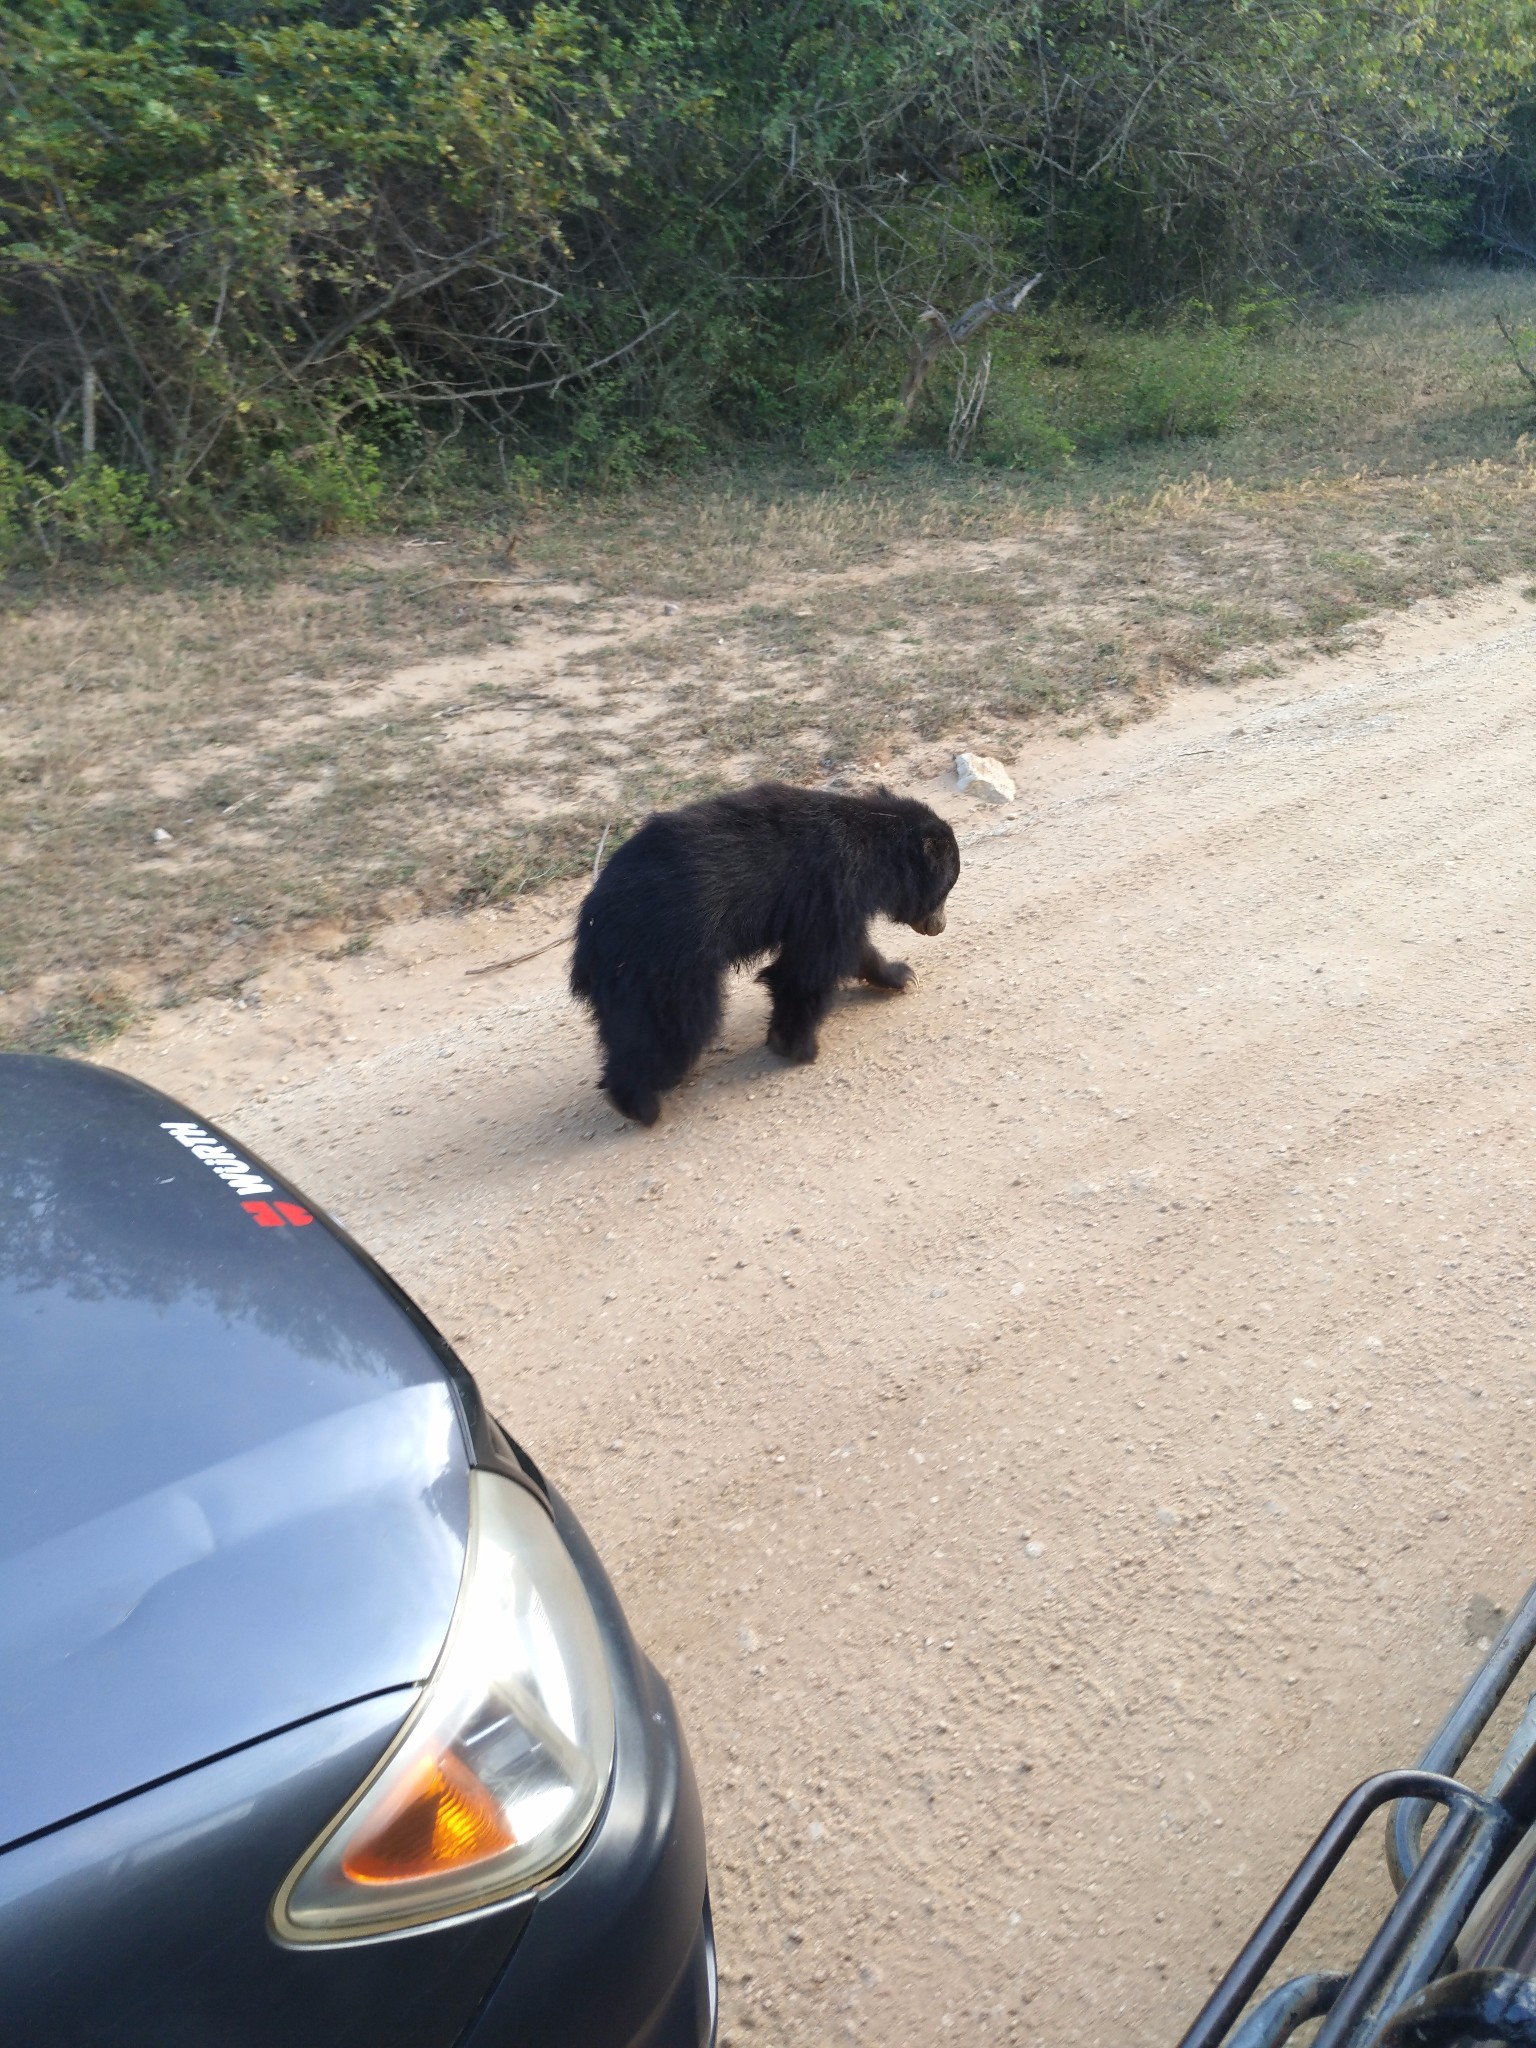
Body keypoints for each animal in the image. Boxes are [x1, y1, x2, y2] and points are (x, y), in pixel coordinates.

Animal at [573, 782, 962, 1130]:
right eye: (946, 889)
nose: (939, 926)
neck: (874, 838)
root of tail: (591, 921)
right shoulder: (831, 890)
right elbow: (808, 969)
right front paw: (797, 1047)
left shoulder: (828, 907)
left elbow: (852, 950)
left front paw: (900, 976)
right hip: (668, 957)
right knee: (677, 1023)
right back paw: (641, 1105)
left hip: (632, 971)